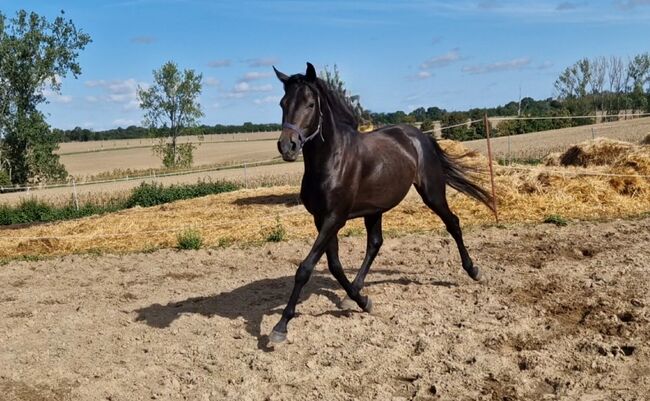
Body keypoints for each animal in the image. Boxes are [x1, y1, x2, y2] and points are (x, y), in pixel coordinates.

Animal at [268, 63, 492, 344]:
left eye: (310, 104)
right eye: (282, 103)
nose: (287, 146)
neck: (331, 160)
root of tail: (419, 136)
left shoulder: (334, 218)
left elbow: (306, 268)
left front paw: (280, 327)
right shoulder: (322, 219)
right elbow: (334, 265)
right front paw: (362, 301)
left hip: (431, 193)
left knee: (453, 223)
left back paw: (473, 270)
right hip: (374, 209)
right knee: (375, 243)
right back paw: (353, 293)